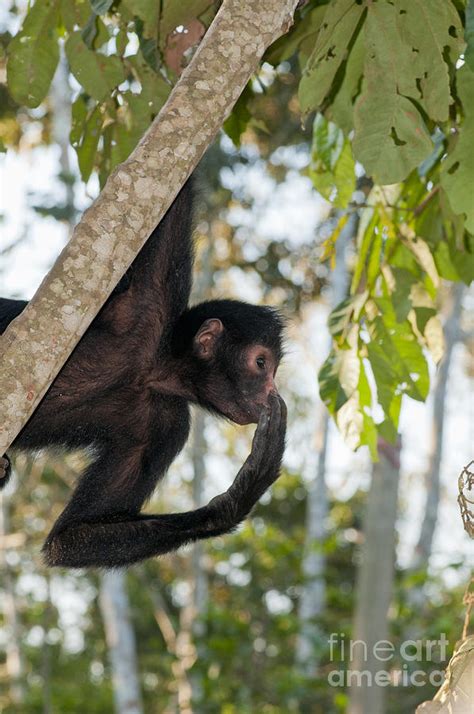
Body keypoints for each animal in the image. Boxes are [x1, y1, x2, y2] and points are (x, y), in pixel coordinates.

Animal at [0, 179, 286, 568]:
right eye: (261, 364)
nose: (271, 389)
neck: (148, 371)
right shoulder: (151, 300)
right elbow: (172, 202)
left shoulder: (166, 422)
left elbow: (70, 538)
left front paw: (239, 495)